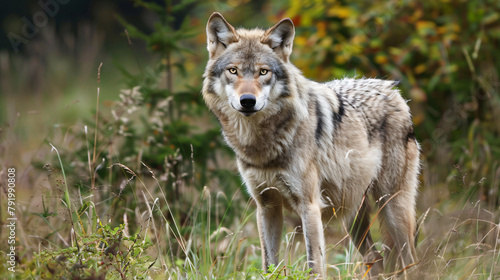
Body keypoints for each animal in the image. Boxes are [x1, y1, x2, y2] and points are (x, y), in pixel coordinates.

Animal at [201, 12, 420, 276]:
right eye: (233, 70)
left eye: (263, 72)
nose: (247, 101)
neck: (262, 145)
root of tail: (393, 90)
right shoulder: (266, 206)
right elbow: (269, 265)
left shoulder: (310, 206)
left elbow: (314, 265)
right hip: (353, 218)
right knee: (375, 259)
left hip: (392, 208)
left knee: (411, 262)